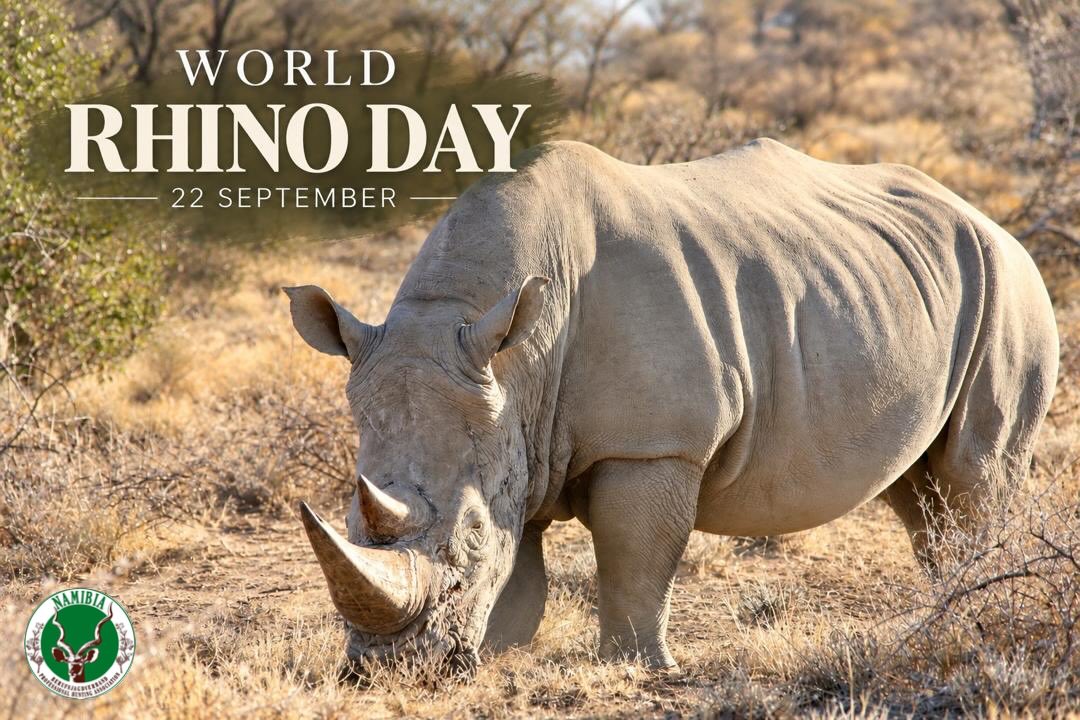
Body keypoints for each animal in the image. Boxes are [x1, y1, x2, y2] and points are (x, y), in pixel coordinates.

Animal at [285, 138, 1058, 672]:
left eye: (468, 536)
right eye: (347, 518)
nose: (388, 670)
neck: (507, 353)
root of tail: (990, 220)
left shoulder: (654, 444)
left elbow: (634, 555)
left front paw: (636, 665)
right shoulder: (515, 429)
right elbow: (522, 561)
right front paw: (502, 650)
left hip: (1011, 285)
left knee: (975, 469)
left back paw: (978, 610)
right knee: (917, 487)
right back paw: (948, 606)